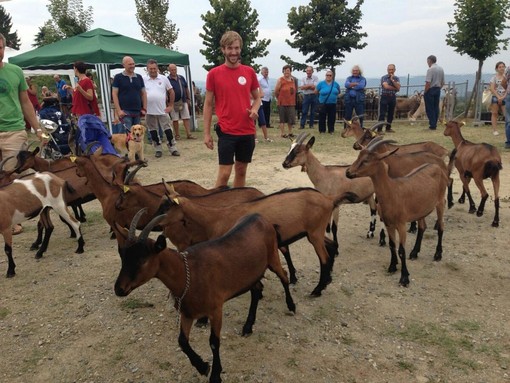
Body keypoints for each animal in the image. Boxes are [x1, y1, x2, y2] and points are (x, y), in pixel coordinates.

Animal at [112, 210, 294, 383]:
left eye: (142, 260)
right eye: (123, 256)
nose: (118, 289)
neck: (188, 274)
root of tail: (262, 219)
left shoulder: (216, 309)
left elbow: (214, 342)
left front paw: (215, 374)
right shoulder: (187, 312)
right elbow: (182, 341)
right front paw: (202, 366)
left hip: (273, 257)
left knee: (284, 276)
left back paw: (291, 306)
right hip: (251, 274)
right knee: (256, 290)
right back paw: (248, 327)